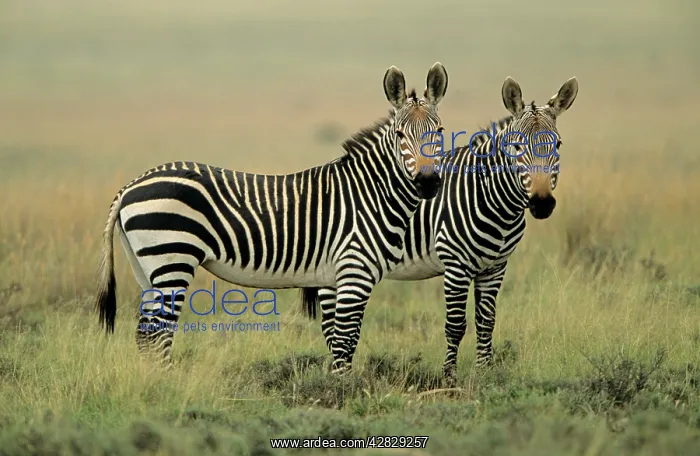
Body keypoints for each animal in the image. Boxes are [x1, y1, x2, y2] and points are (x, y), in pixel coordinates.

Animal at [94, 62, 450, 370]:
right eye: (400, 135)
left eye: (440, 131)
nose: (428, 183)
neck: (370, 192)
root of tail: (129, 187)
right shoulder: (354, 271)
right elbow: (347, 342)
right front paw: (345, 392)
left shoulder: (333, 277)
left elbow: (337, 341)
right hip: (172, 258)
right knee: (159, 333)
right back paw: (168, 383)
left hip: (147, 267)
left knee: (146, 334)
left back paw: (153, 382)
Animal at [301, 76, 578, 382]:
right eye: (516, 147)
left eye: (559, 144)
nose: (542, 203)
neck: (490, 197)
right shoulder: (456, 264)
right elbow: (455, 325)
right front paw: (449, 377)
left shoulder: (495, 266)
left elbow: (487, 321)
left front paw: (485, 372)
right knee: (332, 328)